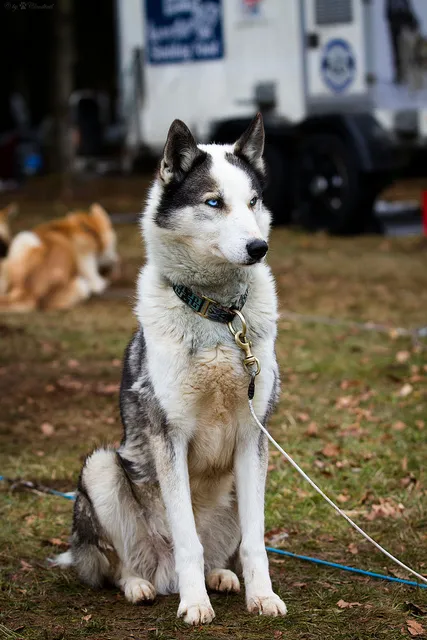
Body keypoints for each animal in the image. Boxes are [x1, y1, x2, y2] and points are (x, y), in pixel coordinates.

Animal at [55, 112, 286, 624]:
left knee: (223, 551)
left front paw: (262, 597)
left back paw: (220, 577)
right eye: (214, 202)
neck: (219, 317)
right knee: (120, 564)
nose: (259, 247)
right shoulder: (170, 436)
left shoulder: (252, 435)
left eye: (253, 201)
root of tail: (162, 575)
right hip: (102, 468)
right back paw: (143, 586)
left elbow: (256, 544)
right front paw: (195, 605)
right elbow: (187, 540)